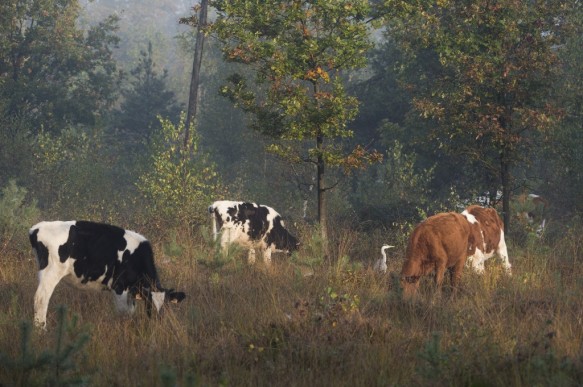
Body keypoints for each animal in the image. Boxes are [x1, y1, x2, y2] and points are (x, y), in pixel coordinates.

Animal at [28, 221, 186, 330]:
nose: (158, 321)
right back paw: (41, 330)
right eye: (149, 304)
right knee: (41, 299)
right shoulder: (119, 287)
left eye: (166, 306)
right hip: (51, 271)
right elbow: (124, 312)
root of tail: (37, 228)